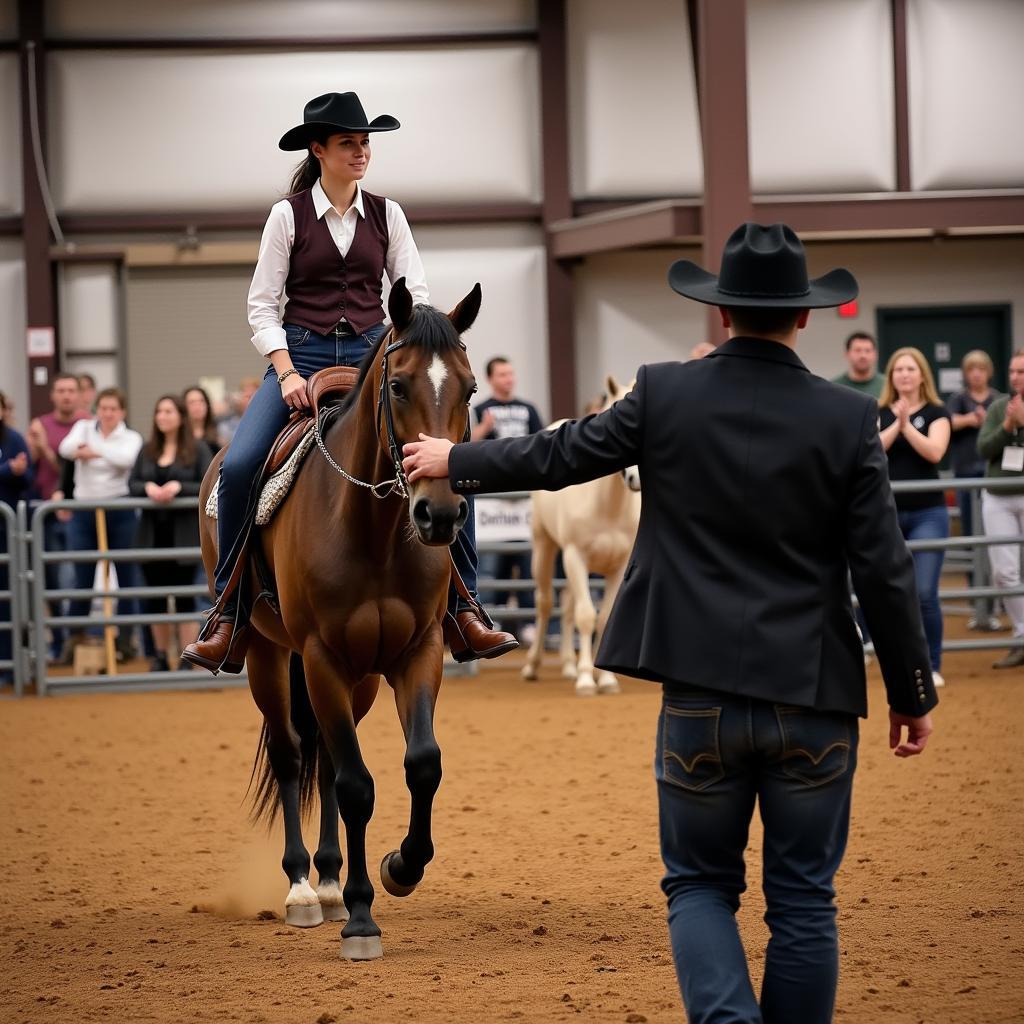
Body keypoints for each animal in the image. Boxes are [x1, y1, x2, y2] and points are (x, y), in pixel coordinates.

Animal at [198, 280, 479, 958]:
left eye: (470, 388)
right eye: (398, 385)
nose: (439, 514)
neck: (371, 531)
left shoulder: (414, 653)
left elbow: (422, 763)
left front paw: (400, 868)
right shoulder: (322, 656)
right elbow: (356, 785)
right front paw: (360, 918)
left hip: (360, 679)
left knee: (325, 755)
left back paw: (327, 880)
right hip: (270, 655)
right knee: (293, 754)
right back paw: (304, 888)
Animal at [520, 376, 638, 696]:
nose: (634, 478)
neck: (606, 506)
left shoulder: (618, 567)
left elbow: (603, 617)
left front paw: (605, 678)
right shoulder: (575, 556)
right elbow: (587, 616)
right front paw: (587, 679)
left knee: (568, 605)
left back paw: (568, 666)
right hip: (546, 548)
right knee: (546, 602)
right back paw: (533, 666)